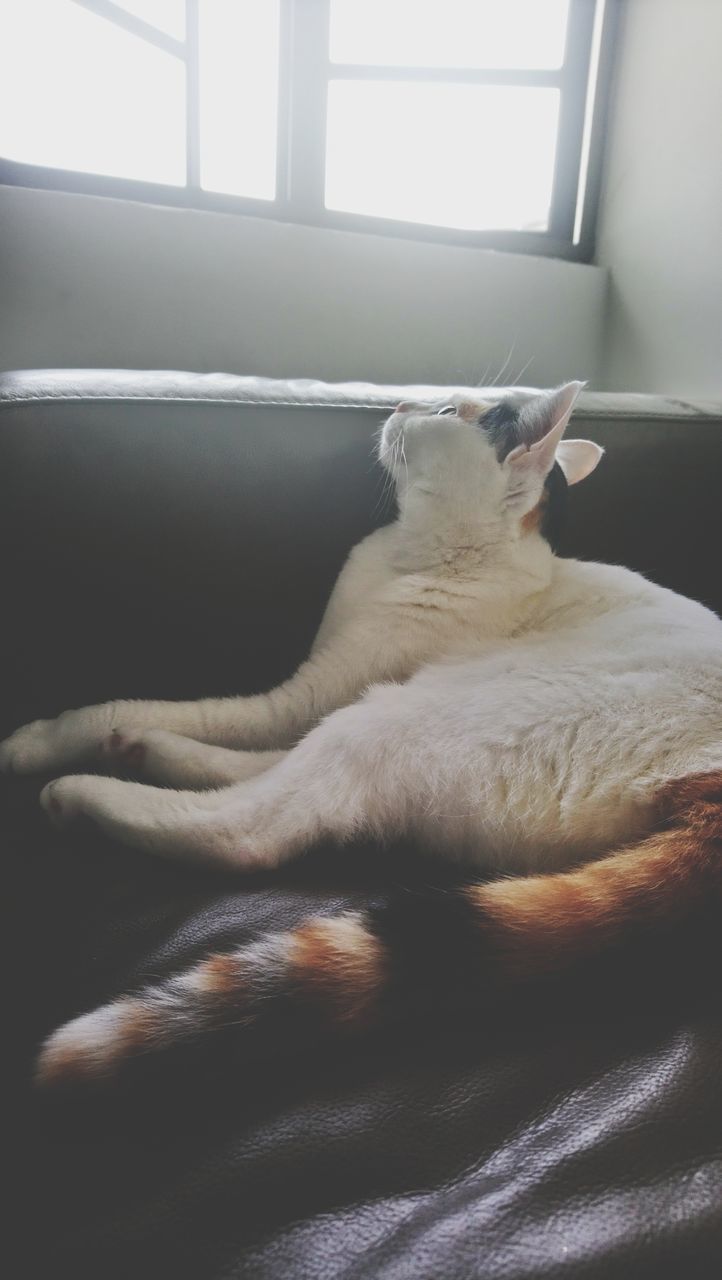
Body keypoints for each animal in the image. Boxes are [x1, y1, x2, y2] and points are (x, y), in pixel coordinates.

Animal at [1, 376, 722, 1080]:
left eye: (447, 410)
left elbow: (127, 708)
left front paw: (34, 741)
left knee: (252, 823)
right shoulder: (315, 692)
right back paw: (144, 753)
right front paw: (125, 738)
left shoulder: (295, 698)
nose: (398, 401)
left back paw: (84, 791)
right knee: (270, 771)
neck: (421, 554)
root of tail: (707, 784)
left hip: (414, 710)